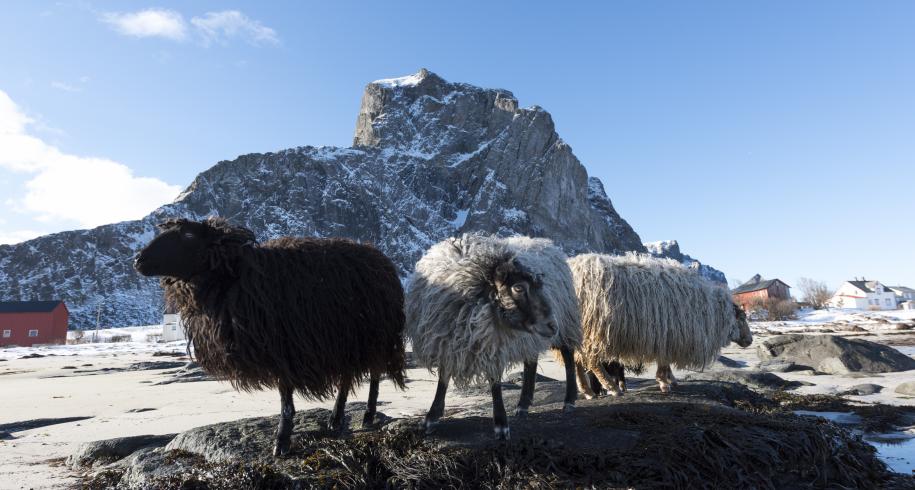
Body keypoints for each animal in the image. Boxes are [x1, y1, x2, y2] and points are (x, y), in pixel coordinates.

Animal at [134, 218, 406, 456]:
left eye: (188, 235)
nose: (138, 260)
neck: (232, 277)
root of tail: (381, 259)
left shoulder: (283, 347)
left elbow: (285, 399)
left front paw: (282, 441)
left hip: (374, 335)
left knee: (374, 374)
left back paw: (368, 415)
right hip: (347, 340)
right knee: (348, 378)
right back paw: (336, 419)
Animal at [406, 234, 584, 440]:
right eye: (518, 288)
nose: (552, 325)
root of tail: (544, 242)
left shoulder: (492, 343)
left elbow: (495, 381)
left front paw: (501, 424)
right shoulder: (446, 341)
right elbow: (443, 378)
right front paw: (431, 418)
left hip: (567, 322)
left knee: (568, 356)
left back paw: (569, 401)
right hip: (533, 336)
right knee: (531, 362)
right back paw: (523, 405)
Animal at [568, 253, 756, 394]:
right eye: (741, 318)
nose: (750, 340)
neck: (710, 310)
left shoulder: (667, 336)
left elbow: (665, 362)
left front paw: (671, 380)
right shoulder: (669, 334)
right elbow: (664, 362)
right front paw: (664, 383)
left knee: (576, 360)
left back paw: (587, 392)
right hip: (592, 329)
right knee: (591, 361)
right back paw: (612, 388)